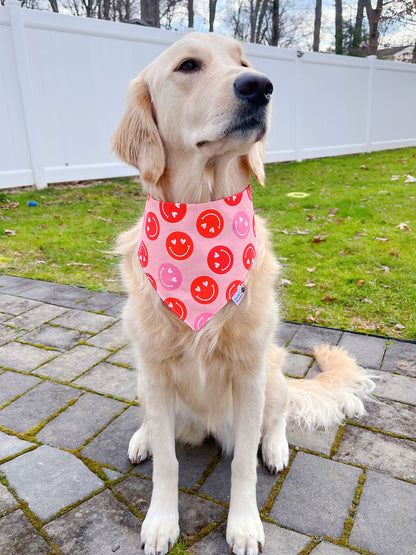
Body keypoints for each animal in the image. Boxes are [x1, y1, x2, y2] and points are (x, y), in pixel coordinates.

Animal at [112, 33, 376, 555]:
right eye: (188, 65)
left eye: (244, 61)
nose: (261, 86)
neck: (202, 218)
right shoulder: (154, 369)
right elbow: (168, 463)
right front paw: (161, 521)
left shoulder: (249, 373)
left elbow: (241, 467)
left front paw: (245, 525)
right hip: (146, 381)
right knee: (155, 424)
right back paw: (143, 437)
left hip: (271, 374)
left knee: (275, 421)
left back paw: (274, 448)